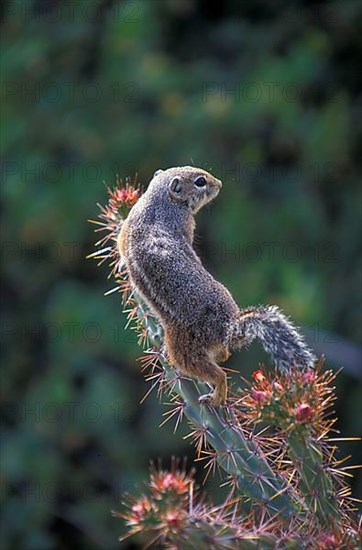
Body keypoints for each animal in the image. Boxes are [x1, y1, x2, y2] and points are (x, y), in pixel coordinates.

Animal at [117, 166, 316, 408]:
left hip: (185, 348)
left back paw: (215, 395)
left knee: (219, 363)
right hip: (186, 348)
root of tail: (228, 328)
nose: (219, 184)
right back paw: (216, 392)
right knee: (220, 363)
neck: (159, 202)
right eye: (200, 182)